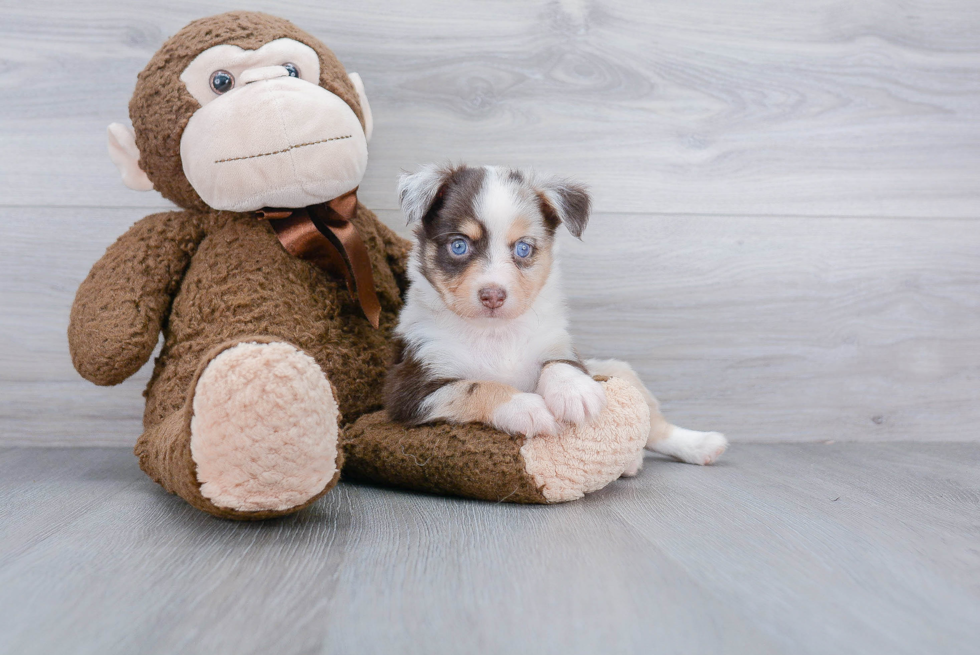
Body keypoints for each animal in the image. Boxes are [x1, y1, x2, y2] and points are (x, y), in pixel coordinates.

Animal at [382, 167, 728, 468]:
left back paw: (700, 445)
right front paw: (525, 407)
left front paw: (575, 392)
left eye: (523, 248)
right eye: (458, 245)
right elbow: (475, 386)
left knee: (654, 427)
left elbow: (560, 364)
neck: (495, 333)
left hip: (622, 372)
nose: (493, 295)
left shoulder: (558, 345)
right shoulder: (411, 390)